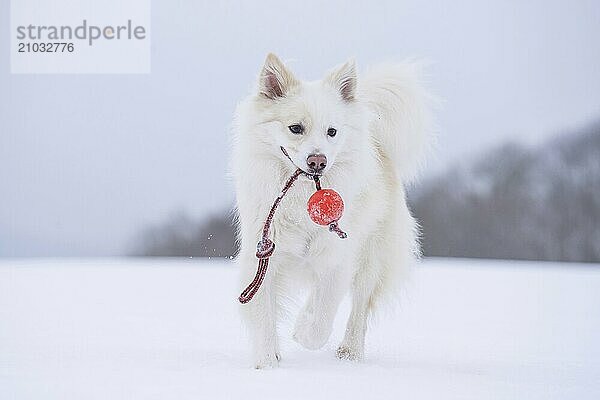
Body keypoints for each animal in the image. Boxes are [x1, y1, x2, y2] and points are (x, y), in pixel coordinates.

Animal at [230, 53, 432, 368]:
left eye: (332, 132)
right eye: (295, 128)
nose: (318, 161)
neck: (301, 197)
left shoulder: (337, 257)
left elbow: (322, 317)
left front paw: (303, 333)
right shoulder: (263, 256)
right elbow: (264, 316)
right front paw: (268, 364)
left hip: (372, 259)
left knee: (359, 309)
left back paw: (349, 352)